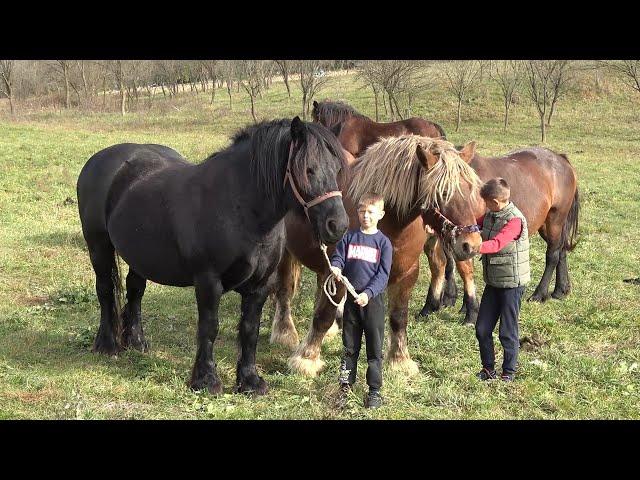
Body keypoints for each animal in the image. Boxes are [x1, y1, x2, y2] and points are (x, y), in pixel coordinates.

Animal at [76, 117, 350, 394]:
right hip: (98, 247)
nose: (337, 225)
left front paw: (250, 381)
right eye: (307, 169)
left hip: (140, 255)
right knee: (105, 290)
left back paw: (136, 341)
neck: (238, 208)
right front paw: (206, 380)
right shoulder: (209, 282)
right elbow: (209, 327)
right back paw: (107, 345)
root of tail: (100, 160)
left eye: (338, 169)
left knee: (135, 291)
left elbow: (250, 329)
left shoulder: (261, 285)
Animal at [268, 137, 482, 376]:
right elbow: (323, 314)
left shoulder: (406, 274)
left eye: (472, 190)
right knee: (284, 291)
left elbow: (398, 317)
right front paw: (306, 359)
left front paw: (400, 360)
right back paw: (284, 333)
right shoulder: (338, 274)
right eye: (443, 193)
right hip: (287, 254)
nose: (471, 245)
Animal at [420, 146, 580, 326]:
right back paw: (560, 290)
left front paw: (467, 309)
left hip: (555, 221)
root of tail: (561, 159)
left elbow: (461, 266)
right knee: (561, 251)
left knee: (552, 255)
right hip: (547, 225)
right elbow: (444, 264)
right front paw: (439, 303)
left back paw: (539, 294)